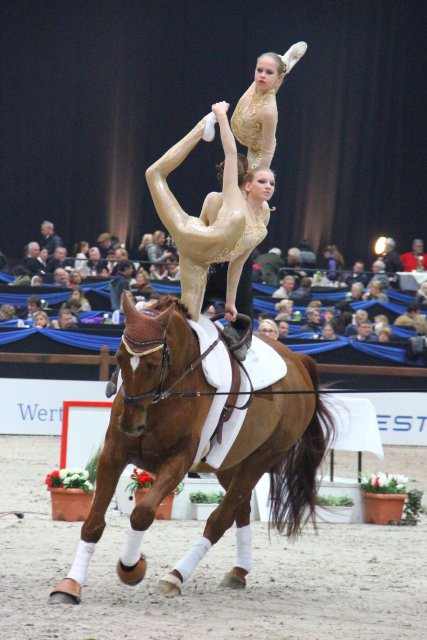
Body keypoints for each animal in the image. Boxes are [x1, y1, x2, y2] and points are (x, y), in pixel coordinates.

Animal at [50, 292, 336, 604]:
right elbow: (93, 522)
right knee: (241, 509)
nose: (130, 425)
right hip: (228, 464)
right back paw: (238, 571)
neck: (165, 394)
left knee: (220, 519)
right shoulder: (113, 454)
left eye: (153, 364)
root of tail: (298, 360)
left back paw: (175, 576)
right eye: (119, 357)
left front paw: (131, 568)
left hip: (259, 460)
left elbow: (142, 513)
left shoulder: (179, 461)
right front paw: (70, 585)